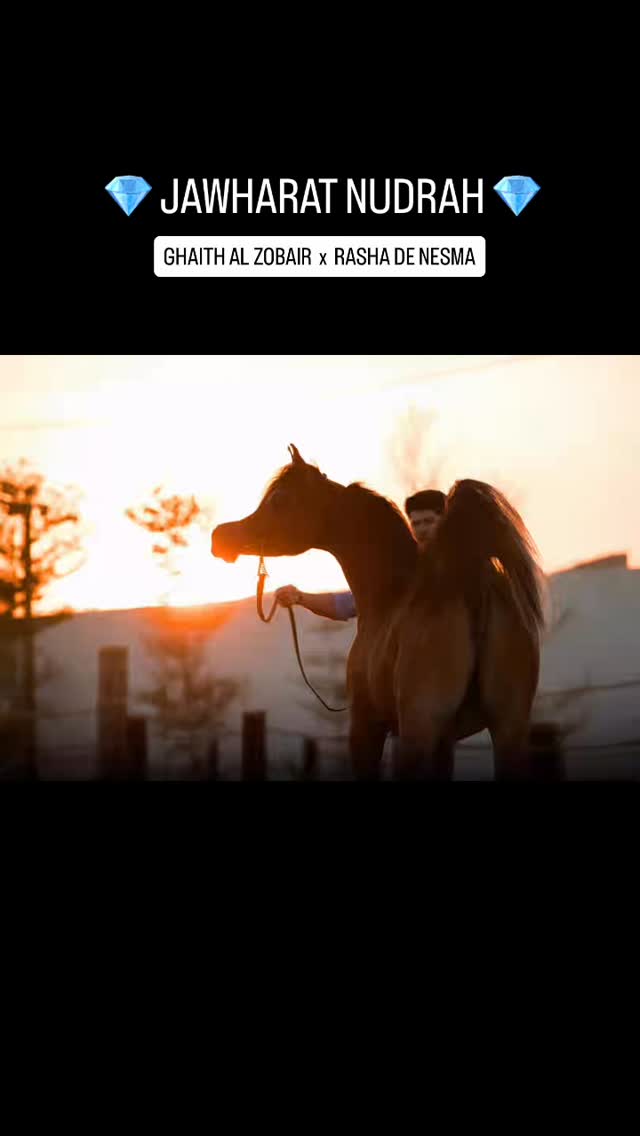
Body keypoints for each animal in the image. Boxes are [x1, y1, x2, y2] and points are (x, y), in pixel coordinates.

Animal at [212, 445, 545, 780]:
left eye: (279, 499)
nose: (220, 537)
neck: (390, 595)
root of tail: (473, 587)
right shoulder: (446, 740)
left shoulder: (366, 727)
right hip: (509, 729)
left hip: (419, 729)